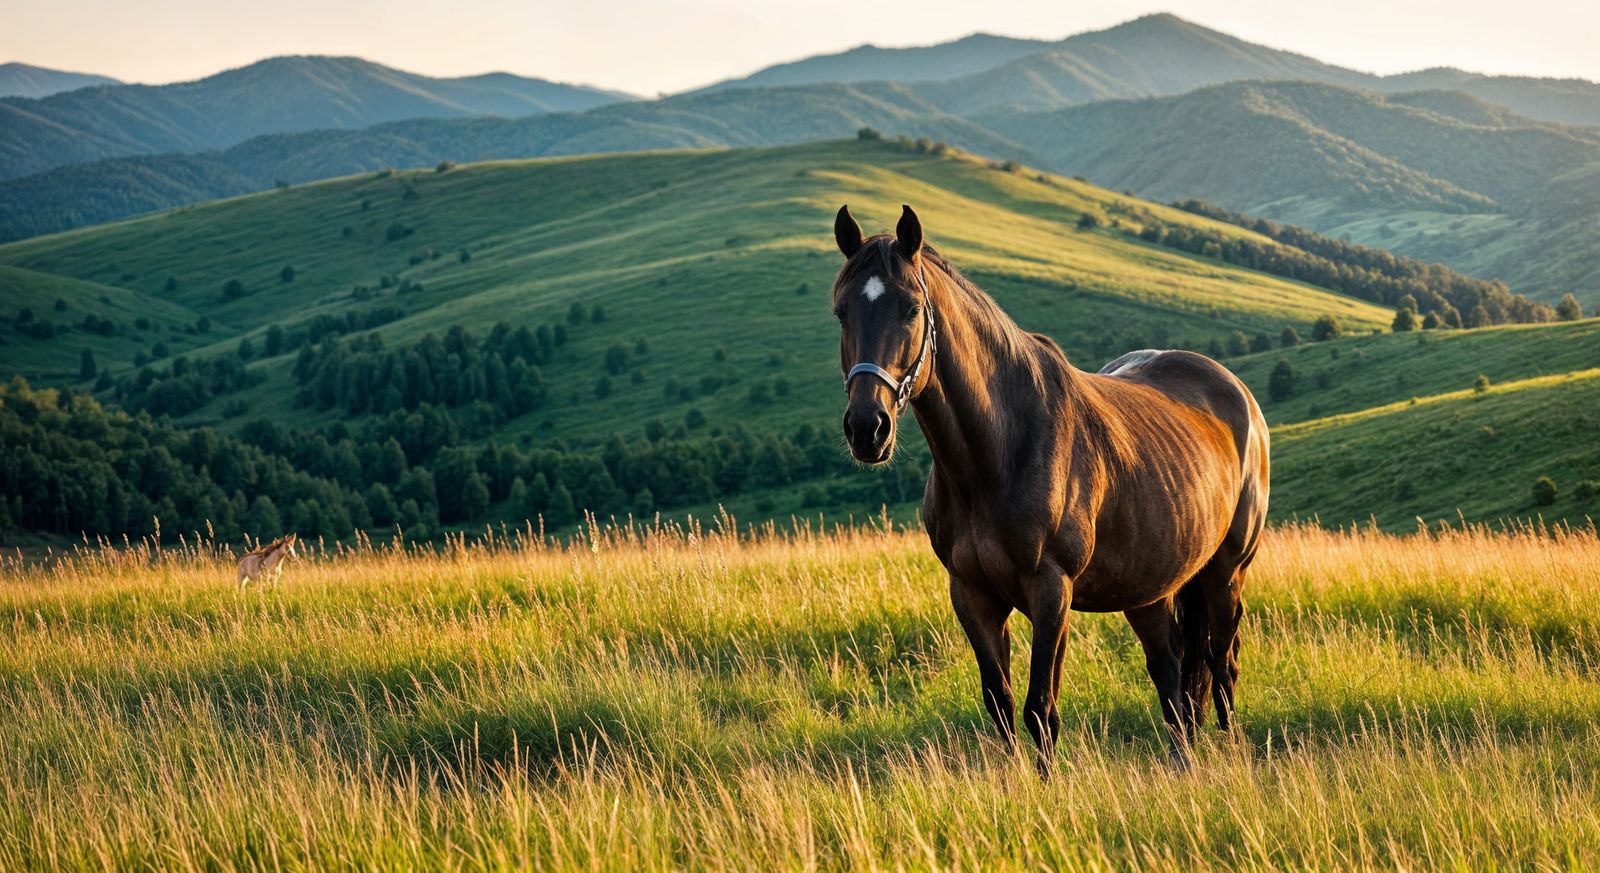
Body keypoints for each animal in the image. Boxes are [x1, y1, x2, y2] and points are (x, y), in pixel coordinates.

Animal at [831, 204, 1270, 772]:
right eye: (841, 313)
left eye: (910, 309)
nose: (868, 428)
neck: (997, 453)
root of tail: (1239, 396)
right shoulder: (971, 595)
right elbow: (1000, 703)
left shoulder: (1050, 589)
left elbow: (1041, 708)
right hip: (1149, 588)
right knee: (1172, 672)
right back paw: (1182, 763)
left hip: (1225, 572)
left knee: (1221, 664)